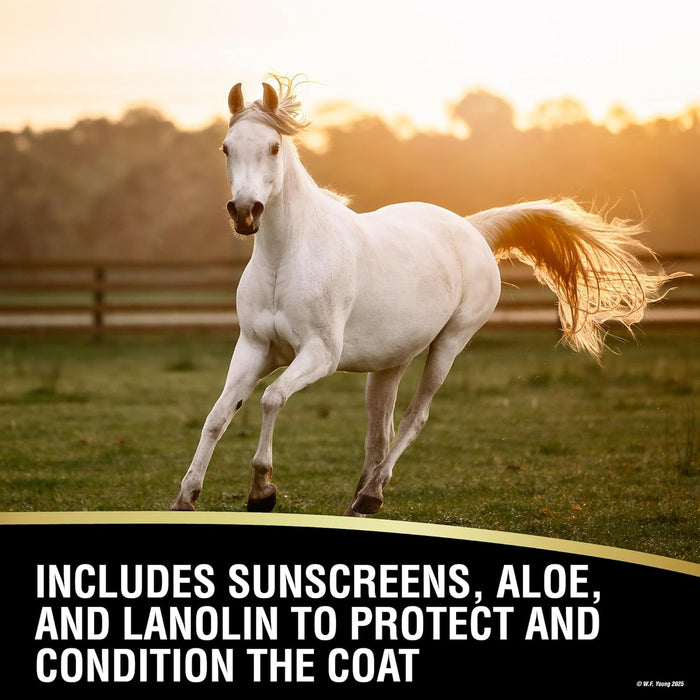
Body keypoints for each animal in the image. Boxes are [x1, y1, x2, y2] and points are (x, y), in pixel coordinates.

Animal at [170, 75, 683, 517]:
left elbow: (272, 399)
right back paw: (359, 500)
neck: (288, 256)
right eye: (226, 148)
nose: (245, 212)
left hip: (449, 345)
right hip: (389, 363)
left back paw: (372, 495)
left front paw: (262, 491)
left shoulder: (319, 354)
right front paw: (186, 496)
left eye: (273, 147)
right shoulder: (255, 348)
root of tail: (472, 230)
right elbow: (218, 415)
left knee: (415, 418)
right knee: (380, 432)